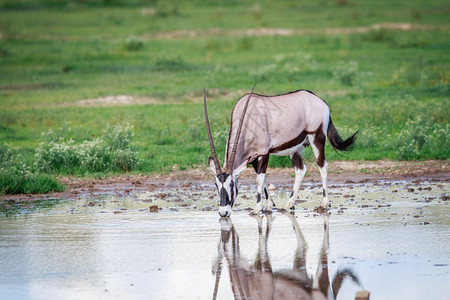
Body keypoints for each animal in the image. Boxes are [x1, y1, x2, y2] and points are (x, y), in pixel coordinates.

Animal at [205, 85, 358, 217]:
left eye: (231, 183)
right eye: (216, 184)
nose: (223, 213)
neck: (248, 121)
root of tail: (321, 101)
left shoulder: (263, 153)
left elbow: (259, 179)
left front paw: (257, 209)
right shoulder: (253, 158)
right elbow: (264, 179)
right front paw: (269, 206)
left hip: (316, 137)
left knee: (322, 165)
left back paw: (324, 204)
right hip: (297, 147)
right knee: (300, 169)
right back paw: (288, 204)